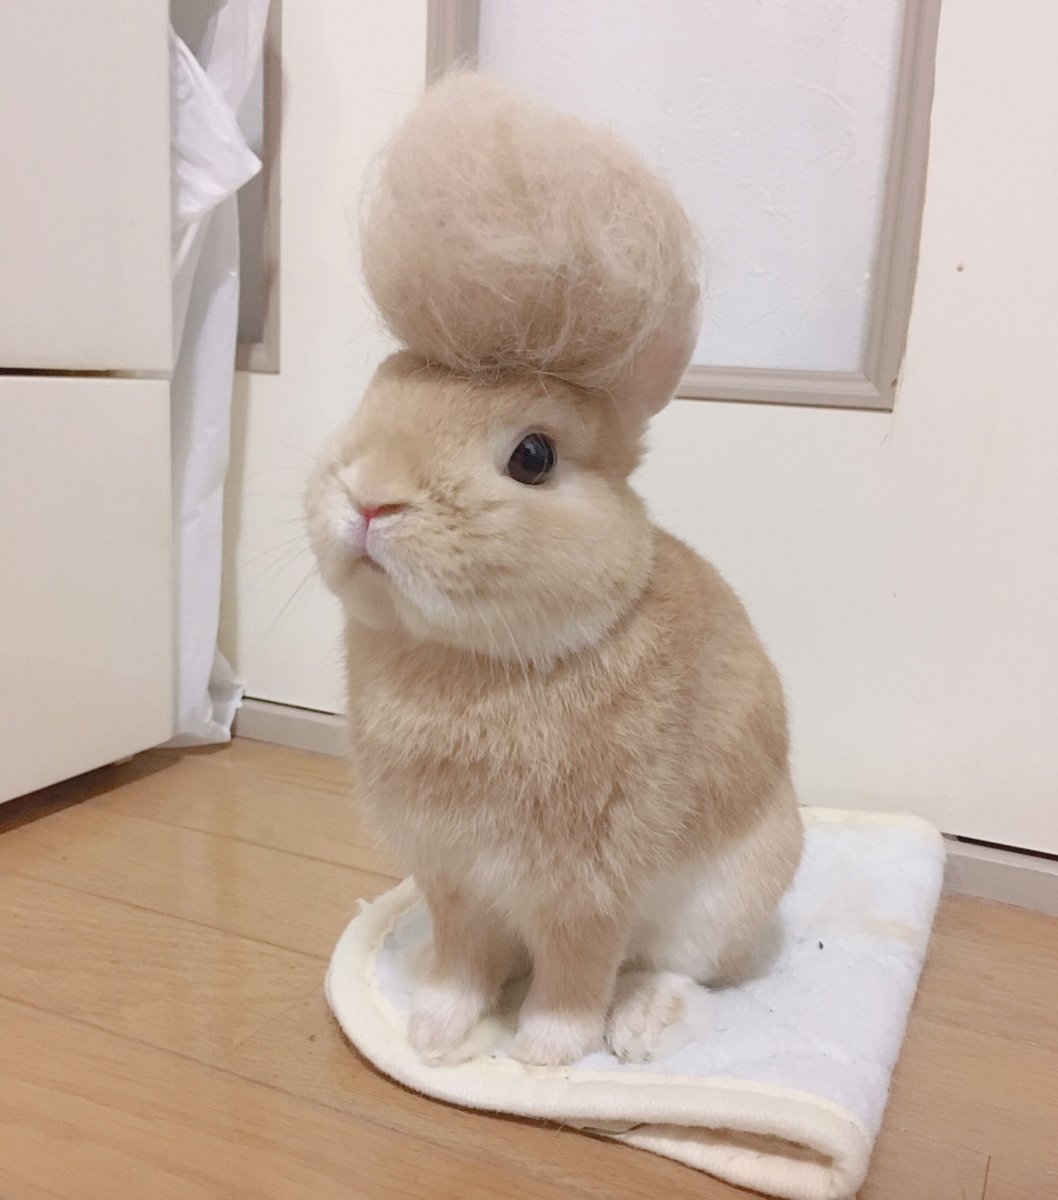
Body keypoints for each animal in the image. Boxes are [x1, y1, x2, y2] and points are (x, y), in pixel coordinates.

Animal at [305, 72, 803, 1067]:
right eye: (373, 400)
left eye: (533, 457)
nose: (370, 498)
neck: (473, 661)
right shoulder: (453, 877)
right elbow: (460, 951)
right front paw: (435, 1031)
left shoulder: (589, 883)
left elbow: (579, 965)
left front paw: (545, 1051)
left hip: (727, 895)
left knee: (684, 969)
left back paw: (640, 1027)